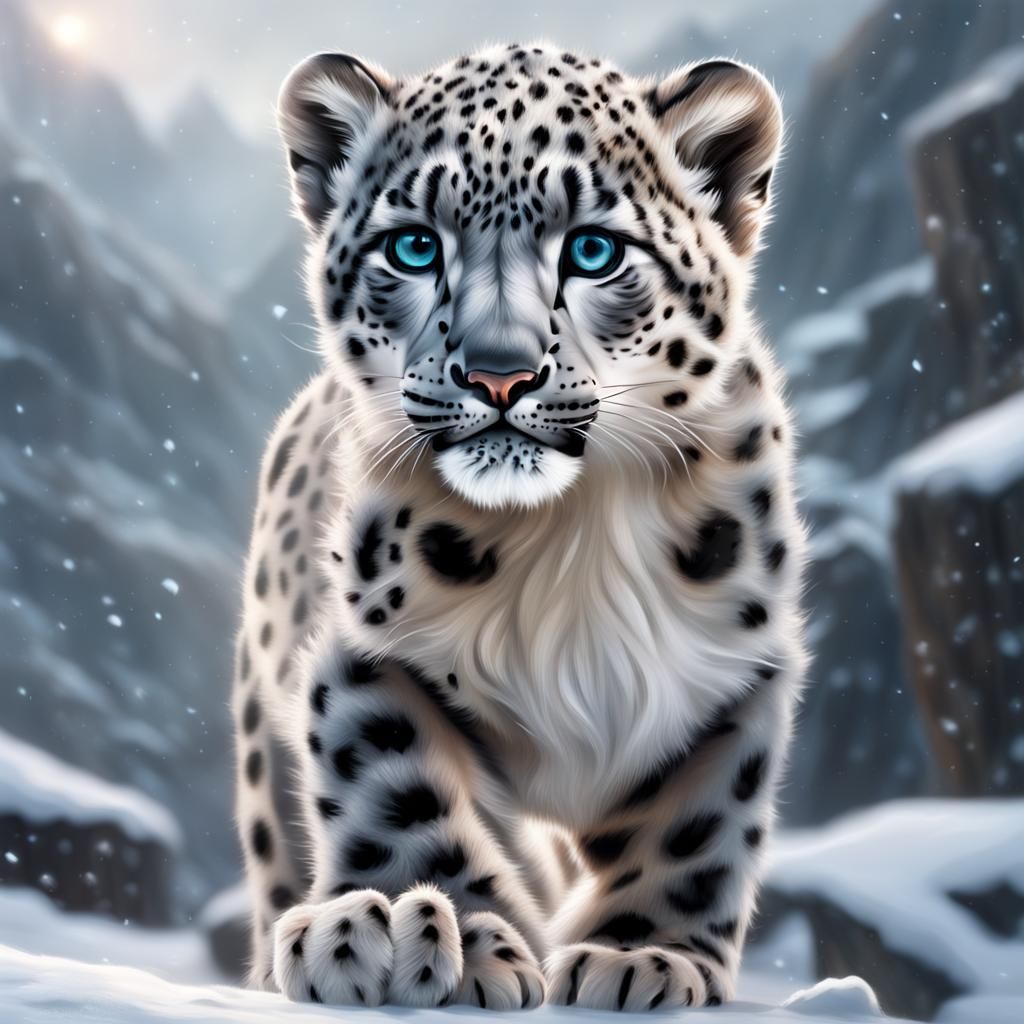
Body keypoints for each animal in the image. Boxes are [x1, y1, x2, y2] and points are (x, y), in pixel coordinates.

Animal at [232, 40, 808, 1012]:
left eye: (593, 248)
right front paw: (424, 926)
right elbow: (392, 780)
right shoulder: (363, 645)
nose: (498, 375)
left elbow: (696, 829)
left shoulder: (735, 676)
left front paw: (641, 956)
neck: (565, 544)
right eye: (415, 245)